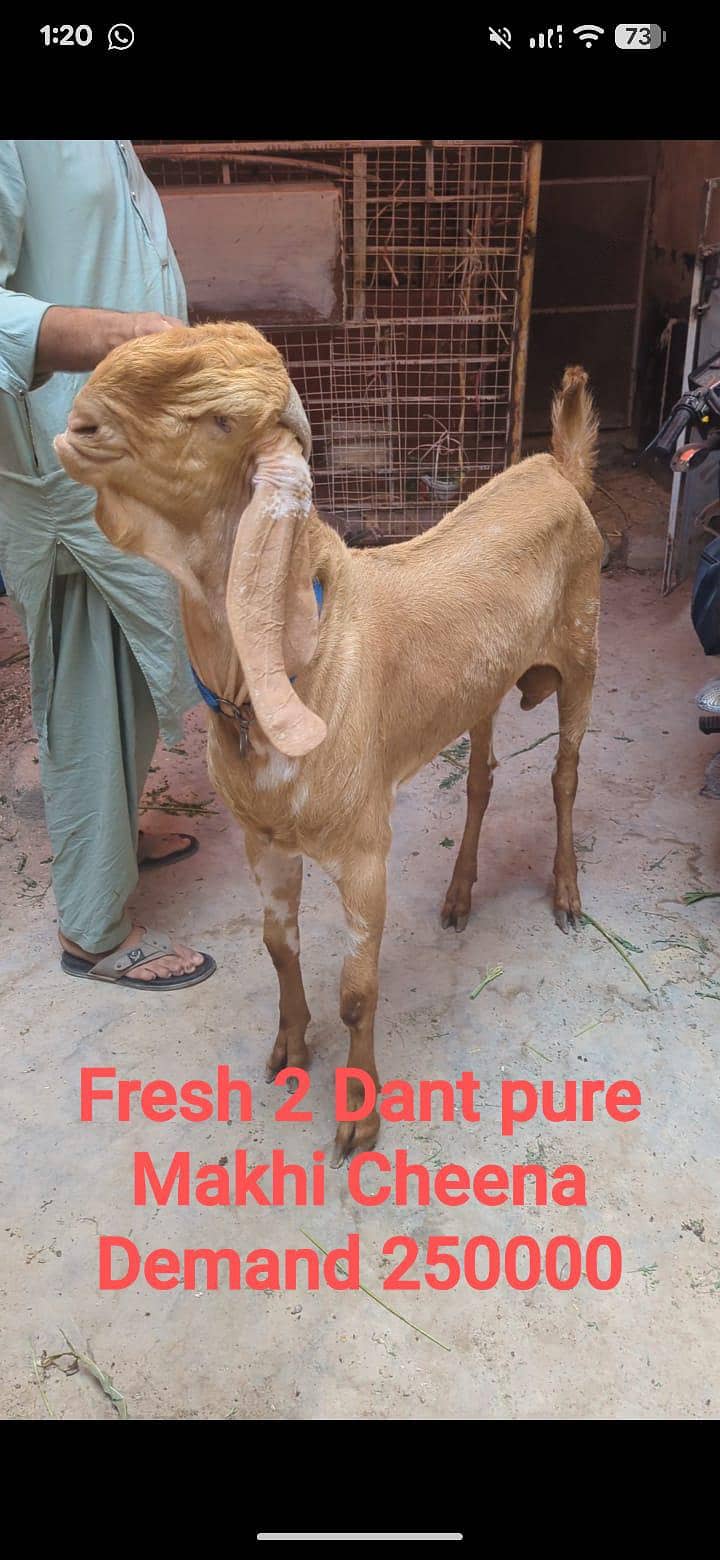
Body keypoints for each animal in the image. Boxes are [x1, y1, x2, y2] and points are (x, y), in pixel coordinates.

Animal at [55, 323, 603, 1161]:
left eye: (219, 420)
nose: (78, 426)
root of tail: (559, 466)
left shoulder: (364, 848)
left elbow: (357, 991)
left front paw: (359, 1115)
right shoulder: (265, 841)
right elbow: (278, 947)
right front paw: (288, 1048)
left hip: (582, 653)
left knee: (565, 777)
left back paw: (567, 895)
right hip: (483, 688)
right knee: (481, 777)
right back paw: (458, 896)